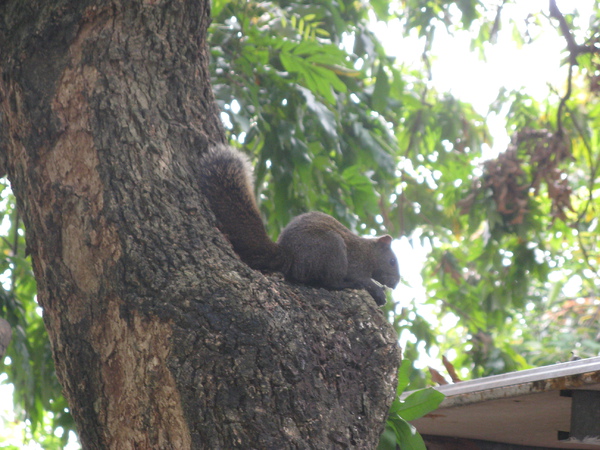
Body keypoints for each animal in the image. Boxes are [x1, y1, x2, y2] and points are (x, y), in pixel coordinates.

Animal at [199, 145, 400, 306]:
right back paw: (347, 284)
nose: (396, 283)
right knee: (329, 282)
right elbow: (362, 278)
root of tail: (289, 256)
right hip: (331, 248)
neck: (369, 252)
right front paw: (378, 292)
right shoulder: (357, 263)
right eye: (392, 261)